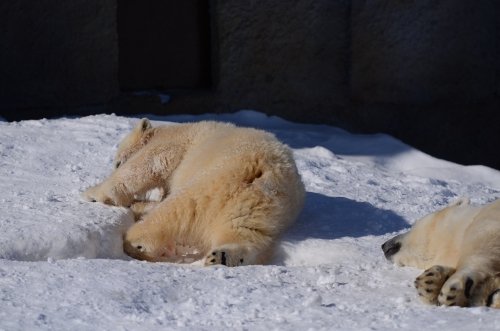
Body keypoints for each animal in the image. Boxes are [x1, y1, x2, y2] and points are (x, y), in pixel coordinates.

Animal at [83, 118, 304, 268]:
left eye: (118, 161)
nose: (115, 164)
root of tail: (263, 169)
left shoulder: (172, 145)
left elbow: (144, 167)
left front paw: (91, 193)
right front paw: (139, 204)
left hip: (213, 178)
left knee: (178, 208)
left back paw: (137, 241)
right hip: (266, 203)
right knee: (245, 228)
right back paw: (223, 256)